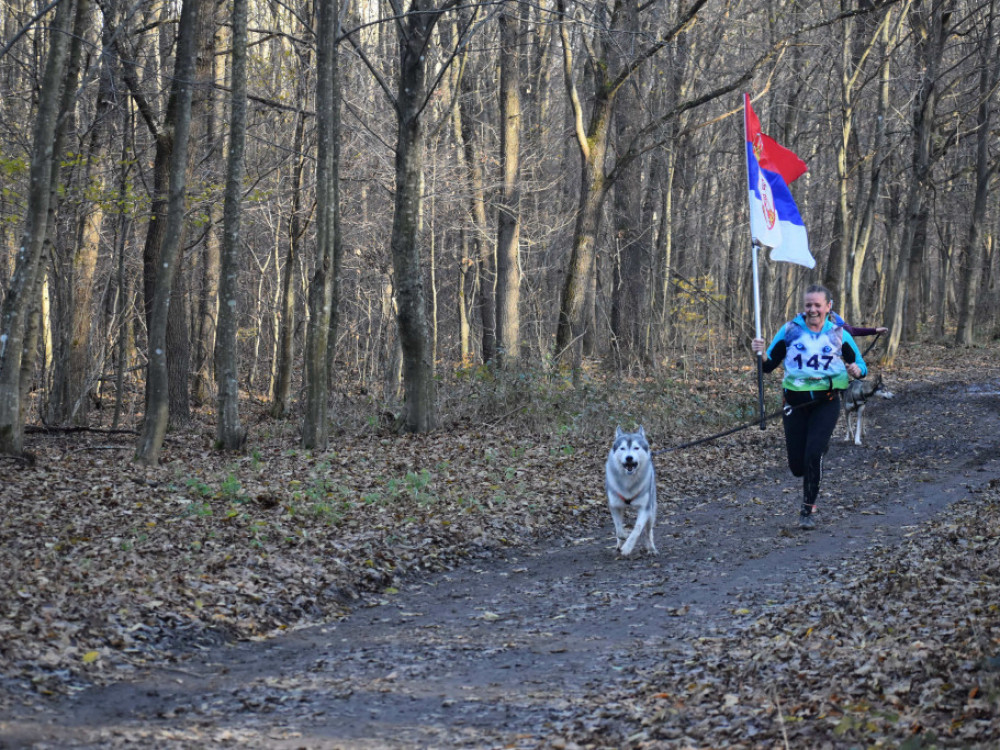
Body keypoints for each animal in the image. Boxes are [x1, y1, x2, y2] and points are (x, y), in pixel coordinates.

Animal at [604, 428, 660, 560]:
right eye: (622, 448)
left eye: (636, 448)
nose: (629, 458)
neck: (628, 483)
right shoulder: (614, 506)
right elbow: (619, 530)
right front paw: (624, 536)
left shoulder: (645, 508)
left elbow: (637, 529)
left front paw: (627, 547)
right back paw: (619, 545)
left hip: (651, 511)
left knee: (648, 532)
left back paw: (651, 548)